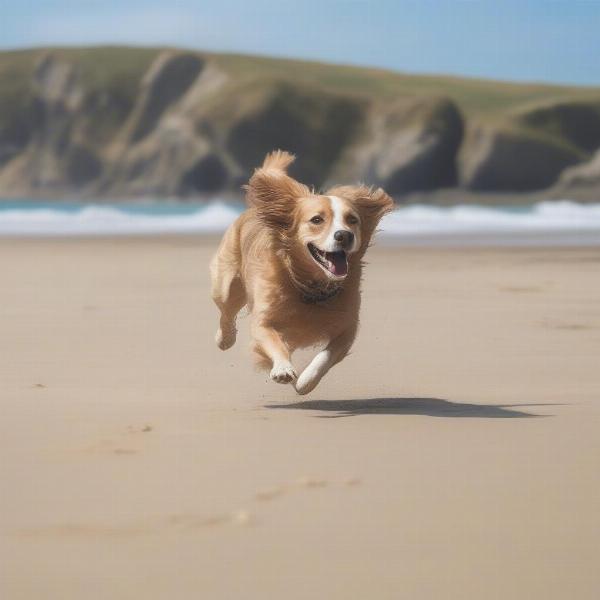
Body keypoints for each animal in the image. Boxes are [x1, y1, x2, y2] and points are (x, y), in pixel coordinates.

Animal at [211, 151, 394, 394]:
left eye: (352, 220)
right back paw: (225, 338)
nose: (344, 235)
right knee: (226, 312)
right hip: (227, 284)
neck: (311, 287)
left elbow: (325, 357)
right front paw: (282, 369)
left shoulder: (348, 329)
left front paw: (305, 382)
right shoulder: (263, 321)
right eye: (317, 220)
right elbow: (274, 342)